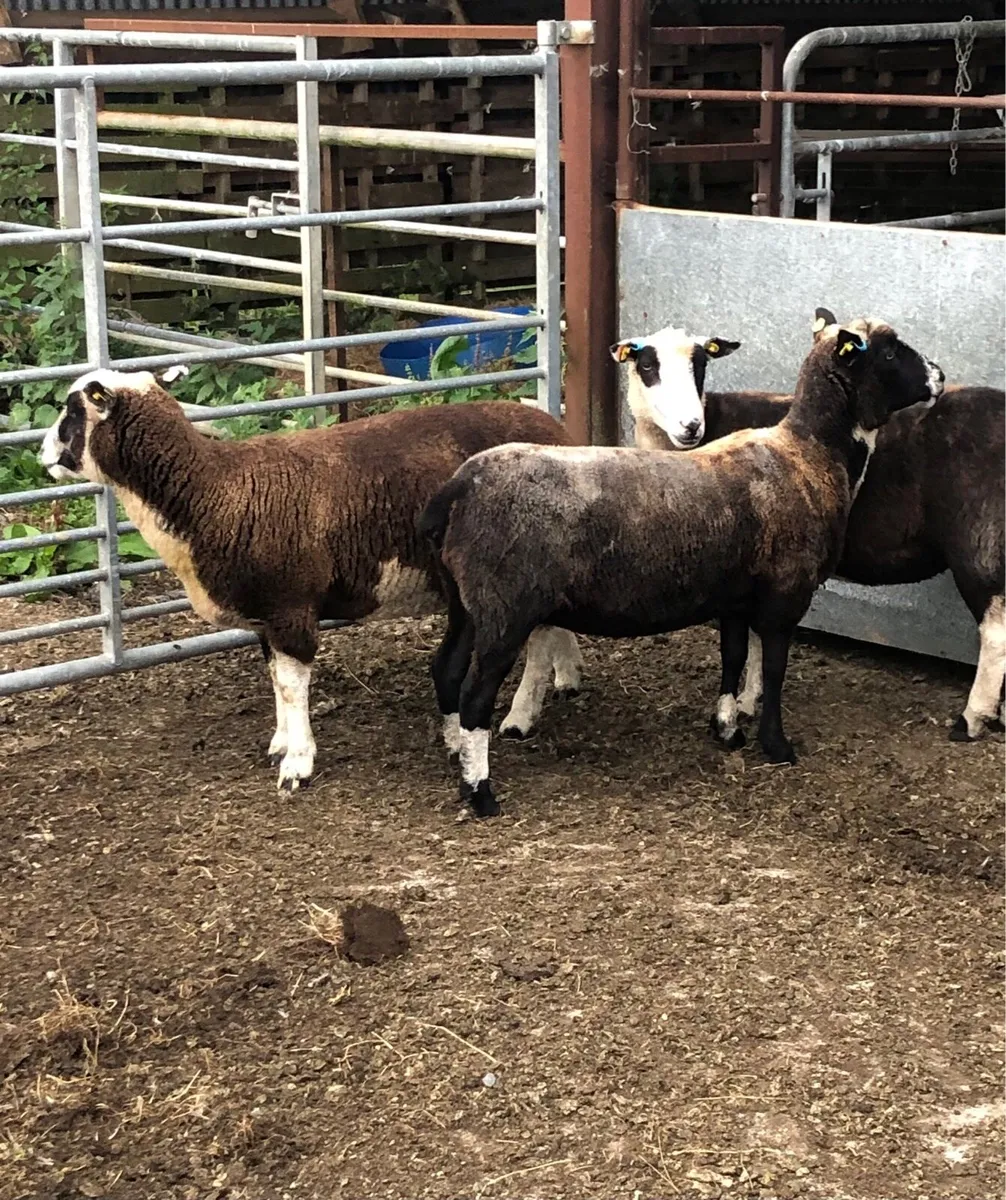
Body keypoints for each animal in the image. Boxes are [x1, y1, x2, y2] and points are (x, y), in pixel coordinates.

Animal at [39, 368, 586, 791]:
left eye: (71, 411)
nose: (43, 454)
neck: (212, 491)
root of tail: (556, 428)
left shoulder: (291, 607)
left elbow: (292, 685)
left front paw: (297, 764)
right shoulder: (266, 615)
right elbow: (275, 679)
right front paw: (280, 743)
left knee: (538, 640)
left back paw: (521, 715)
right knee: (553, 627)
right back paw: (567, 676)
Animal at [420, 318, 944, 816]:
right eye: (890, 351)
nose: (939, 376)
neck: (810, 453)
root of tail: (458, 487)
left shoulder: (736, 598)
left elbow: (733, 659)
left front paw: (727, 729)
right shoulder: (785, 594)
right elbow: (773, 669)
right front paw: (776, 746)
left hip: (467, 602)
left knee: (446, 670)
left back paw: (455, 753)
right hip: (504, 609)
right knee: (474, 696)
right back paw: (481, 793)